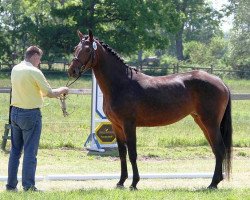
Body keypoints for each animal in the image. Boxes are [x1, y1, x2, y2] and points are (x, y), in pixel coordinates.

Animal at [68, 29, 232, 189]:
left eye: (87, 49)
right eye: (75, 48)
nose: (72, 71)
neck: (121, 83)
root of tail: (220, 81)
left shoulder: (129, 125)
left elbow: (132, 153)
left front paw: (134, 183)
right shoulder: (116, 126)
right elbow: (122, 153)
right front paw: (121, 182)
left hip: (210, 123)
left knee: (219, 149)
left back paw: (213, 183)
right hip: (202, 122)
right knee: (216, 150)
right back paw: (215, 181)